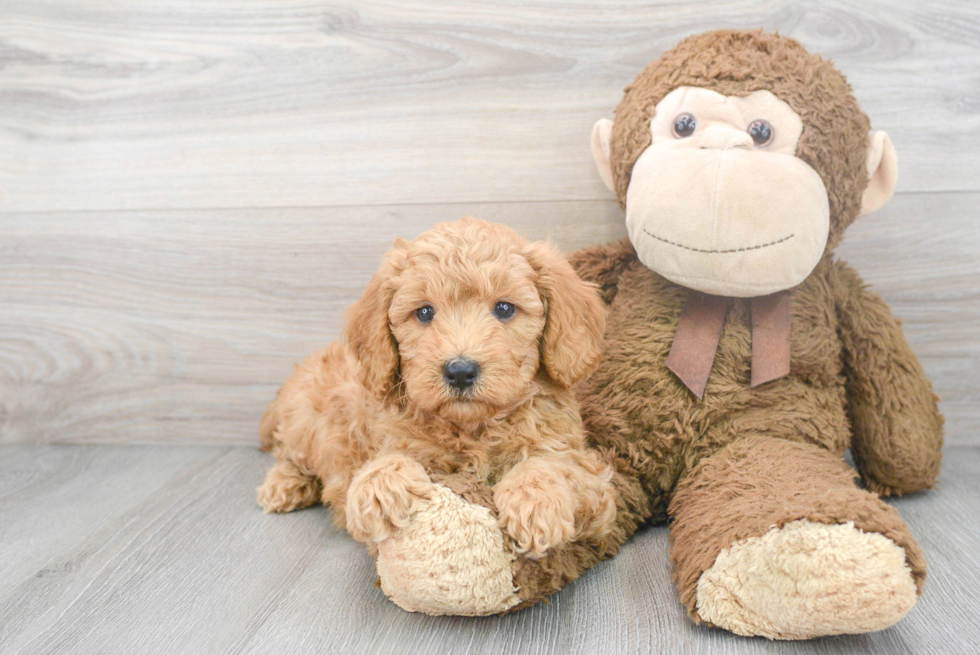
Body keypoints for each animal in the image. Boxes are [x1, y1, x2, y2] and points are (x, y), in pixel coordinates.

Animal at [256, 218, 616, 556]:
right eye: (425, 312)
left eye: (504, 308)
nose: (460, 371)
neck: (471, 429)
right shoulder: (385, 438)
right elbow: (387, 459)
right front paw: (382, 483)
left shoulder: (591, 477)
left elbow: (553, 465)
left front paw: (534, 501)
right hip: (303, 419)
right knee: (287, 453)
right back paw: (283, 485)